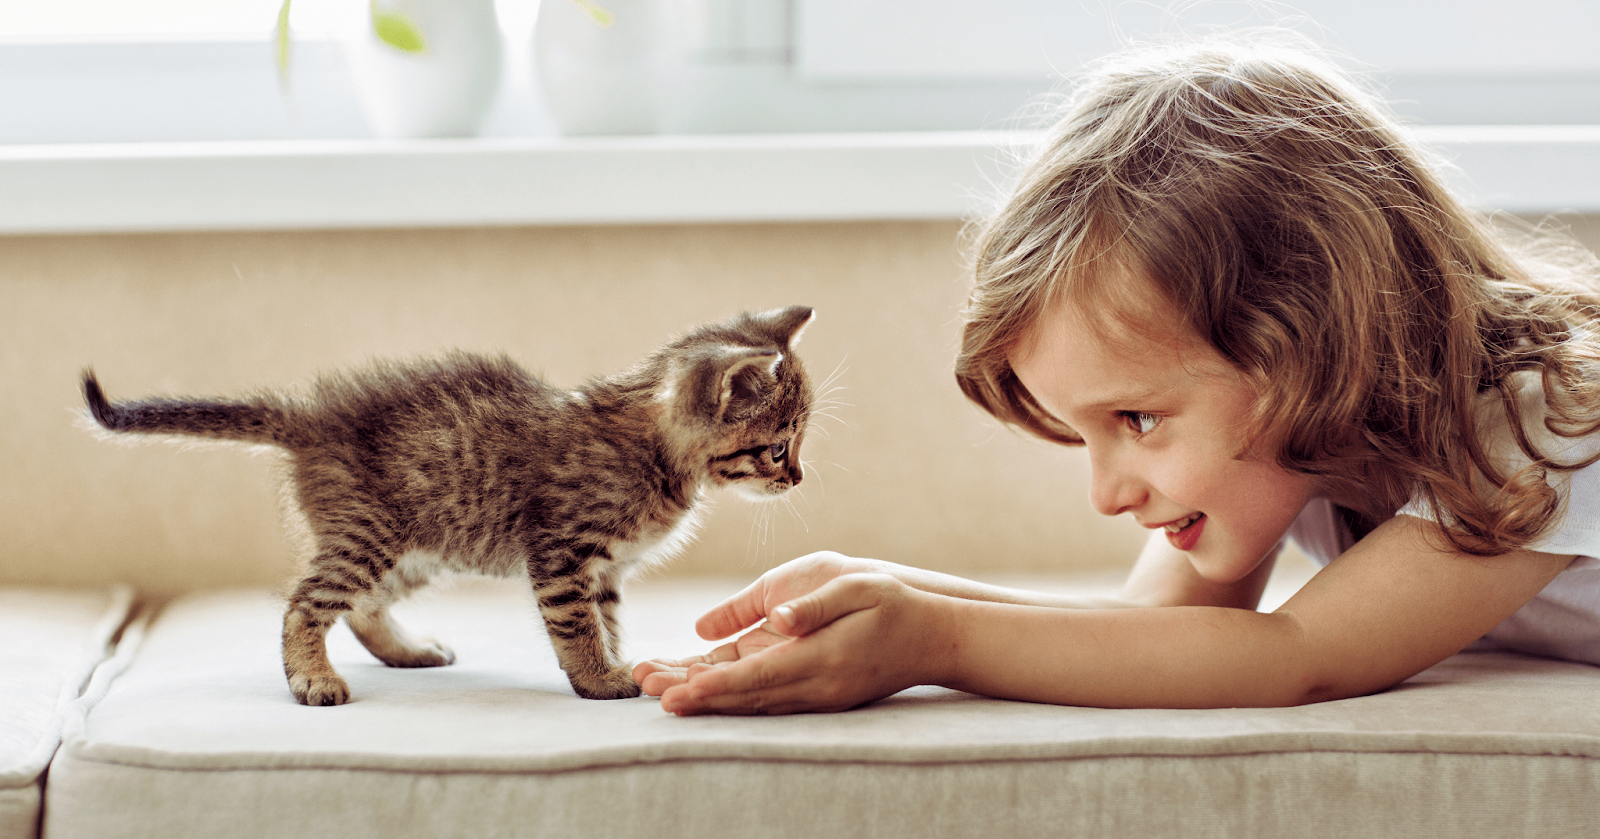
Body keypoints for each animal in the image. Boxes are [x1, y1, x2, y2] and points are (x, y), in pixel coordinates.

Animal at [84, 304, 812, 704]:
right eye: (778, 447)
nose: (799, 478)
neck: (656, 455)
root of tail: (311, 414)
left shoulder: (605, 570)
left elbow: (605, 621)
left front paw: (614, 663)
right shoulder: (562, 553)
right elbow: (576, 625)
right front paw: (600, 679)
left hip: (418, 546)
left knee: (361, 606)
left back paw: (406, 651)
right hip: (370, 534)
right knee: (305, 604)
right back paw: (312, 678)